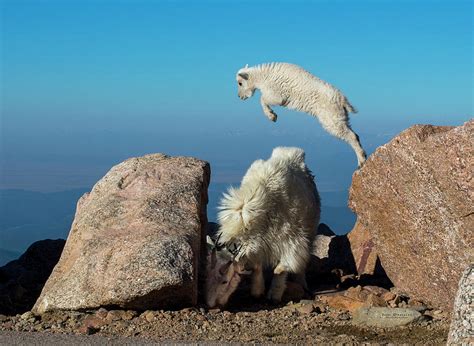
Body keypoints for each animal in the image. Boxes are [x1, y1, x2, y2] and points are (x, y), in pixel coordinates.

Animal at [205, 145, 320, 306]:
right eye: (207, 275)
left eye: (225, 281)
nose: (210, 304)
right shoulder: (258, 245)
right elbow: (256, 266)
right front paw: (257, 291)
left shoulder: (291, 242)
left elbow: (281, 268)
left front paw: (274, 295)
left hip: (310, 229)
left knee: (302, 263)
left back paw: (301, 283)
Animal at [237, 63, 366, 169]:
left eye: (240, 83)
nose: (240, 97)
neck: (262, 76)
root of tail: (342, 100)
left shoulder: (277, 94)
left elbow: (262, 99)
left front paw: (272, 116)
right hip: (340, 116)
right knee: (354, 134)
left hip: (331, 117)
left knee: (349, 135)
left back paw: (361, 161)